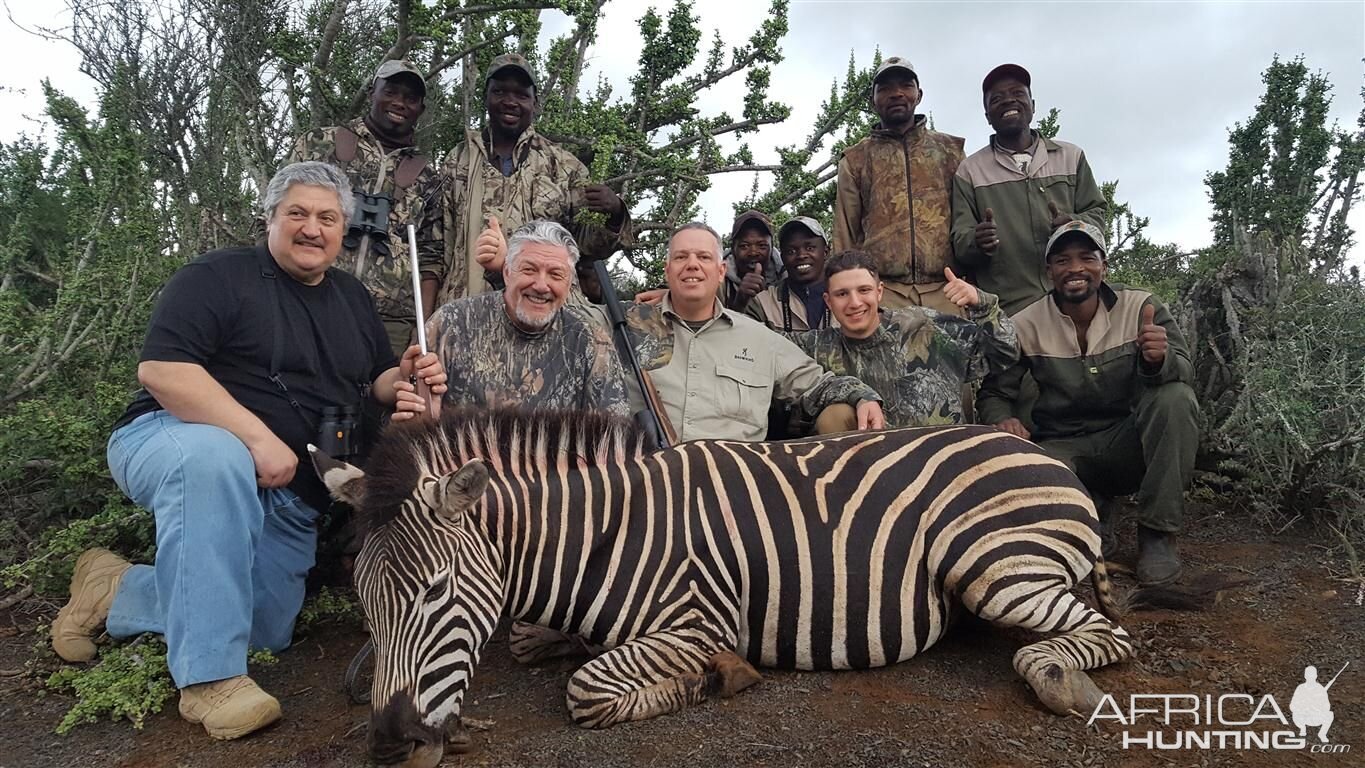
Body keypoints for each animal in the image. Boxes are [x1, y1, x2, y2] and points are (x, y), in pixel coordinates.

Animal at [313, 411, 1135, 763]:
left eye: (435, 592)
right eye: (367, 604)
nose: (388, 741)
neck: (599, 537)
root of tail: (1035, 448)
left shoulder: (695, 621)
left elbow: (586, 688)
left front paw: (713, 681)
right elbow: (542, 646)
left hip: (996, 564)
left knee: (1100, 635)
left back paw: (1060, 680)